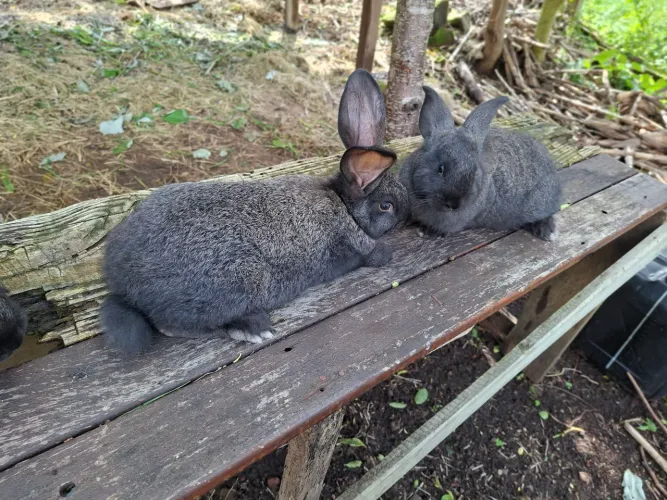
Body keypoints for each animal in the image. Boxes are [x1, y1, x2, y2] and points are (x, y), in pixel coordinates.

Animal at [100, 69, 409, 355]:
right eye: (386, 206)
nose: (406, 214)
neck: (344, 206)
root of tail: (123, 283)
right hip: (242, 280)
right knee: (174, 324)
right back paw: (254, 328)